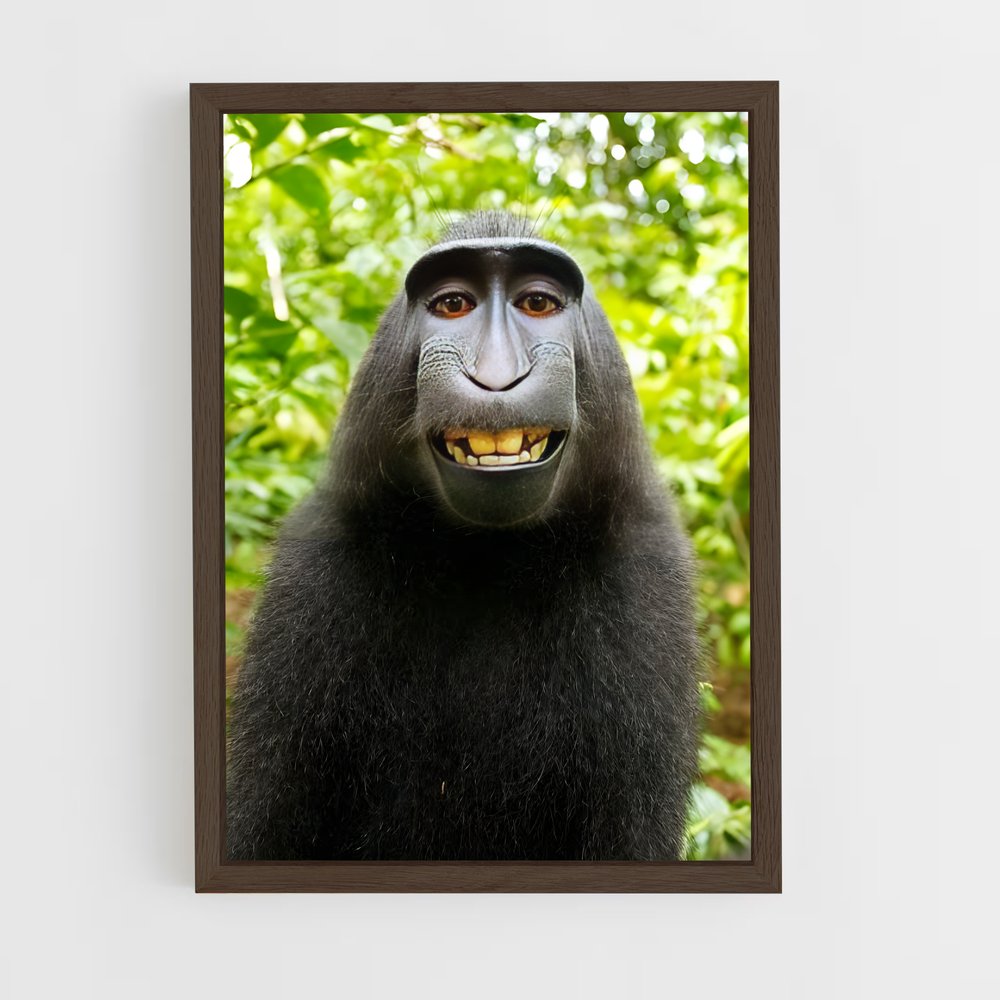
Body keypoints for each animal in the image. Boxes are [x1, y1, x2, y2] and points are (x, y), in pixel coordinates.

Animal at [226, 211, 701, 861]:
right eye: (453, 305)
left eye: (536, 303)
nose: (497, 377)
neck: (486, 556)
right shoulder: (315, 565)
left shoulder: (646, 577)